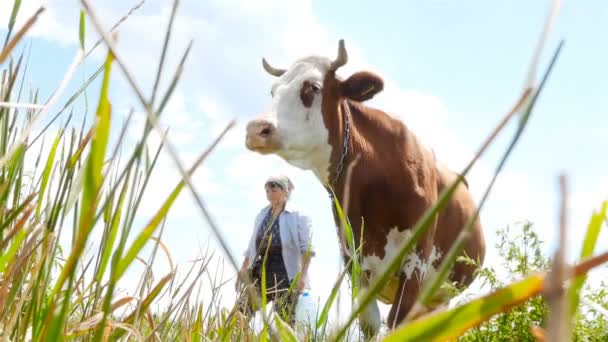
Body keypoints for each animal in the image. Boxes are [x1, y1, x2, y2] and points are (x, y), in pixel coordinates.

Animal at [242, 39, 484, 336]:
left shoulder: (416, 260)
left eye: (313, 87)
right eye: (273, 90)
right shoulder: (353, 262)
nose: (256, 129)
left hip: (441, 295)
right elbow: (369, 322)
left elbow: (397, 321)